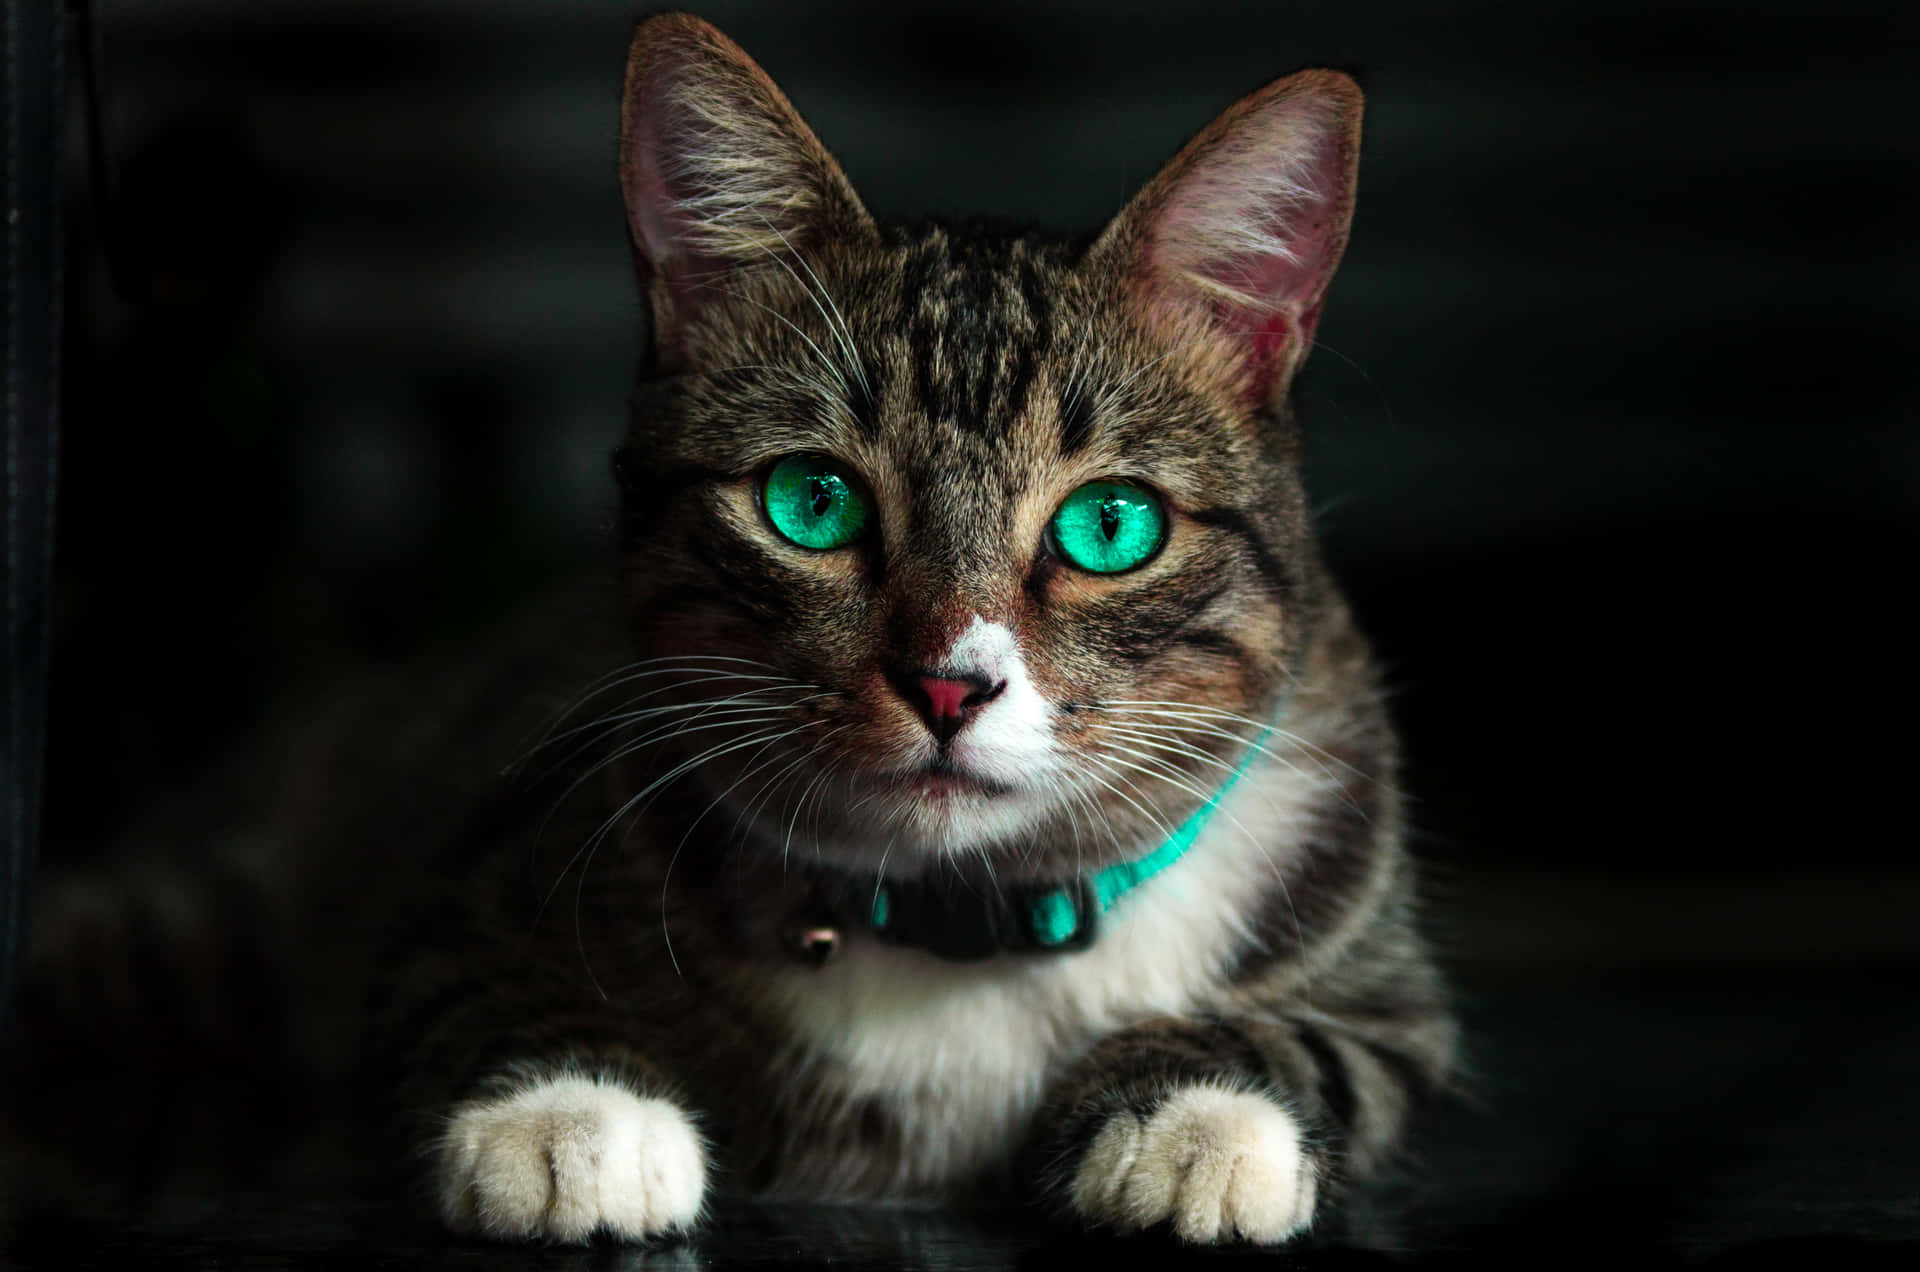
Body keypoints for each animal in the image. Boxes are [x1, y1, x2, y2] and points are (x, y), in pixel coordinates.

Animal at [389, 7, 1451, 1245]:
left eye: (1111, 523)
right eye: (812, 501)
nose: (951, 683)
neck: (964, 927)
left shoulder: (1387, 991)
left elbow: (1322, 1046)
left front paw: (1197, 1117)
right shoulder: (456, 910)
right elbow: (480, 992)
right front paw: (570, 1114)